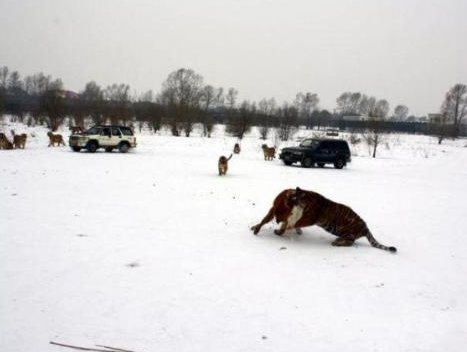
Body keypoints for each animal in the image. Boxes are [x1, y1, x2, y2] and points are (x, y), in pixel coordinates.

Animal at [252, 187, 398, 253]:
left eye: (295, 198)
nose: (291, 196)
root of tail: (366, 227)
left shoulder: (309, 219)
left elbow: (293, 224)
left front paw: (284, 229)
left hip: (348, 232)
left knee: (350, 242)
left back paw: (337, 243)